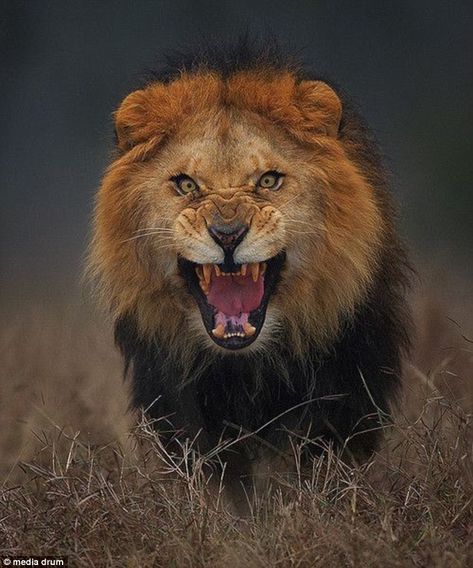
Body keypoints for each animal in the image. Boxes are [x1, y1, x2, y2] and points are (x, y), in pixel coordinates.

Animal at [87, 42, 410, 490]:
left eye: (268, 180)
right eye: (186, 184)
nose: (227, 234)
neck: (249, 366)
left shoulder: (346, 390)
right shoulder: (180, 405)